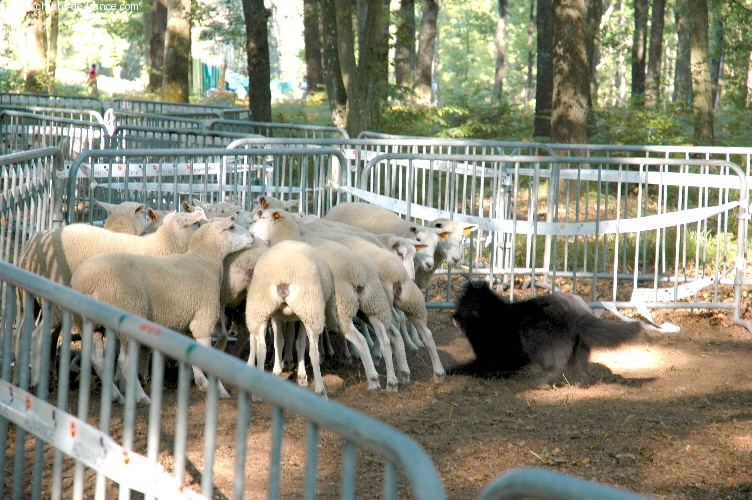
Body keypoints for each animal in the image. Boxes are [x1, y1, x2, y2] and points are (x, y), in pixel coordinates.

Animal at [16, 208, 208, 387]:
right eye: (194, 223)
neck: (159, 245)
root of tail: (30, 247)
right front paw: (132, 377)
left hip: (32, 299)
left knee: (27, 332)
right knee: (38, 335)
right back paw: (36, 380)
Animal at [70, 216, 254, 405]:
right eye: (232, 227)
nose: (252, 236)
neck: (204, 261)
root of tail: (89, 282)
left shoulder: (187, 323)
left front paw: (202, 381)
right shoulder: (203, 317)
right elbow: (208, 356)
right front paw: (210, 385)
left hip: (91, 323)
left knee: (97, 360)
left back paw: (116, 395)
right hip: (130, 313)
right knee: (125, 362)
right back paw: (142, 397)